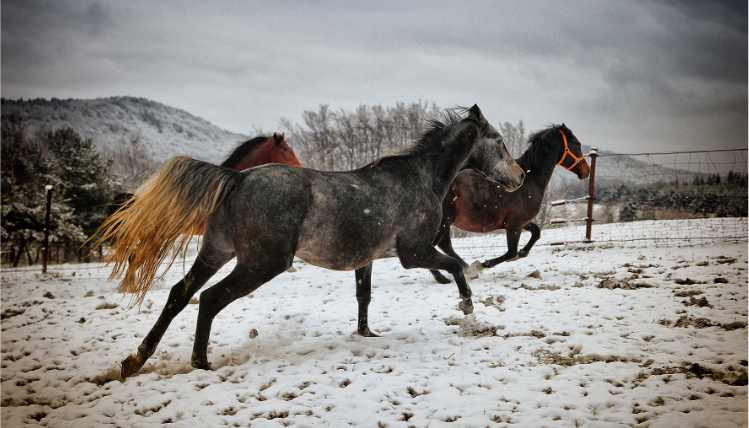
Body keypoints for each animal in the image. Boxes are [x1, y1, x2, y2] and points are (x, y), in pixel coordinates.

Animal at [90, 104, 524, 378]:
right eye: (499, 141)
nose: (520, 177)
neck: (420, 178)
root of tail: (238, 178)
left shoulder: (367, 259)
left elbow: (364, 296)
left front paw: (367, 335)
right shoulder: (413, 252)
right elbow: (455, 267)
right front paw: (467, 306)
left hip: (216, 251)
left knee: (180, 294)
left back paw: (135, 360)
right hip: (262, 263)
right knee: (210, 299)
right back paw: (200, 363)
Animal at [426, 123, 592, 284]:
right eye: (577, 145)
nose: (587, 171)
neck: (529, 179)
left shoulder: (522, 222)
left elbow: (536, 233)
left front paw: (522, 253)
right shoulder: (514, 224)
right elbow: (511, 252)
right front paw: (483, 264)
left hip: (446, 223)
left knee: (444, 246)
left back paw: (465, 269)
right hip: (443, 223)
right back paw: (446, 277)